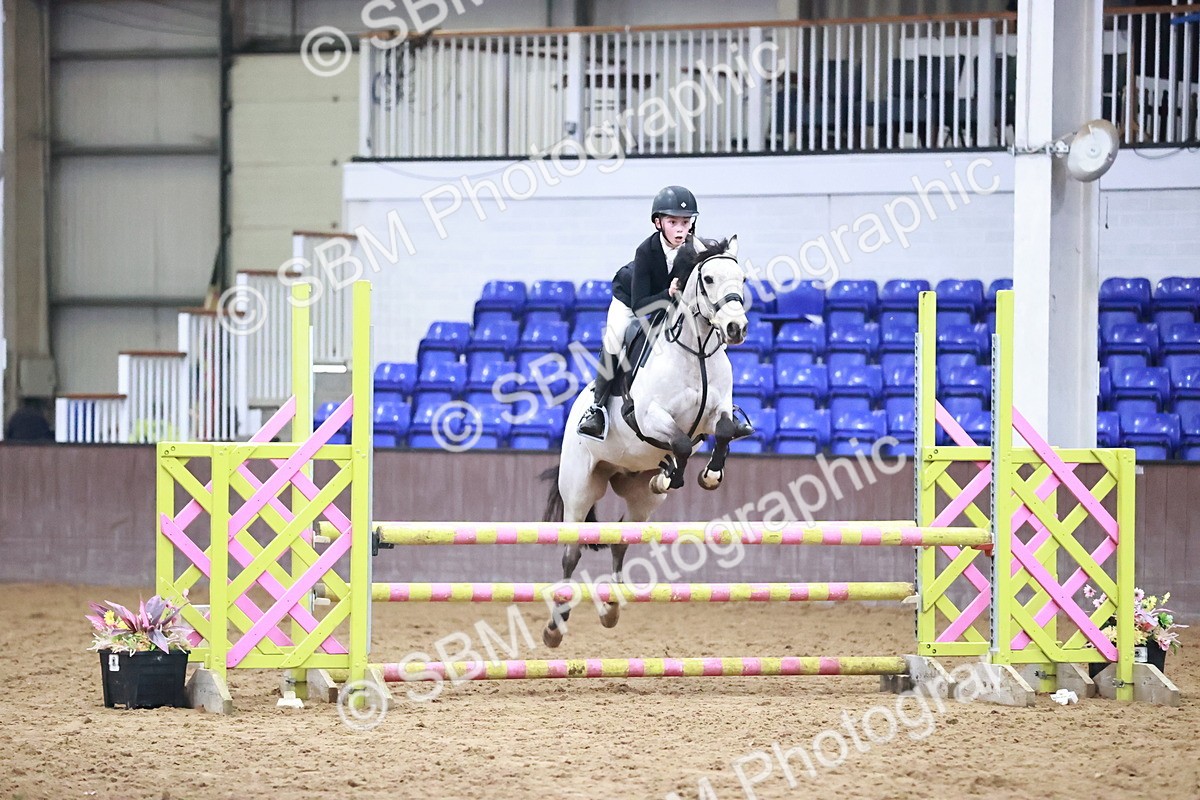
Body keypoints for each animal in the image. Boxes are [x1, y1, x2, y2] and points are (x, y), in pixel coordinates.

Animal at [540, 236, 749, 647]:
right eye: (709, 278)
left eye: (743, 278)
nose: (736, 327)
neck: (697, 353)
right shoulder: (651, 417)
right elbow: (680, 442)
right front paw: (674, 473)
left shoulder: (718, 412)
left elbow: (723, 432)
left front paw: (706, 475)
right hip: (580, 490)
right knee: (571, 552)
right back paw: (556, 624)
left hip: (639, 498)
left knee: (622, 538)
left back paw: (611, 607)